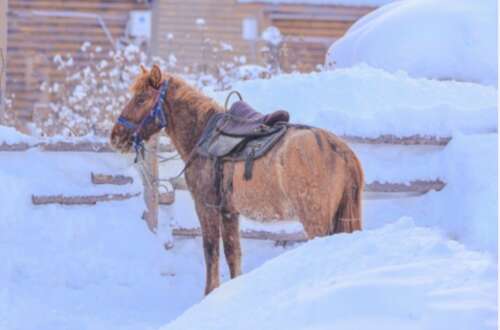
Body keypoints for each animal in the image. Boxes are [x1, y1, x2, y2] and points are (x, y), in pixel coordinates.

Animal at [110, 64, 364, 294]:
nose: (116, 136)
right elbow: (233, 254)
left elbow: (211, 251)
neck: (203, 135)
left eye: (141, 99)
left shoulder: (206, 207)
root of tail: (340, 149)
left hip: (316, 220)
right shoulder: (229, 213)